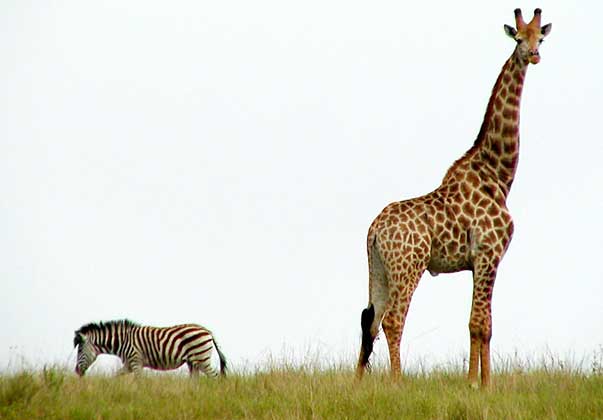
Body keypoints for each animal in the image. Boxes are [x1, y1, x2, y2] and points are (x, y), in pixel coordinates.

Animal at [73, 318, 228, 378]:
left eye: (79, 350)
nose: (77, 371)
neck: (123, 341)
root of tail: (208, 331)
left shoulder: (136, 362)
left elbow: (139, 382)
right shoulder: (129, 364)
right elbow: (115, 376)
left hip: (201, 358)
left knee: (214, 376)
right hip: (193, 362)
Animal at [356, 9, 556, 388]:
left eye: (541, 37)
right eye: (518, 38)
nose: (535, 55)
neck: (499, 174)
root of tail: (374, 230)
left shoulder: (477, 261)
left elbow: (477, 324)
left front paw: (474, 381)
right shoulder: (490, 253)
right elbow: (482, 324)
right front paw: (483, 385)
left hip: (378, 268)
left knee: (369, 319)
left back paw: (358, 381)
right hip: (409, 265)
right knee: (393, 320)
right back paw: (397, 381)